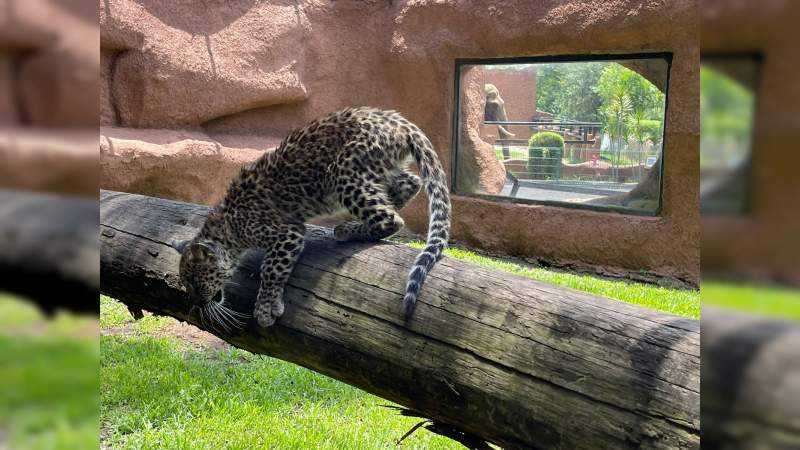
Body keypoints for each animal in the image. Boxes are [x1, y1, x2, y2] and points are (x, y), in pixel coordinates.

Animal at [174, 107, 451, 329]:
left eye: (195, 282)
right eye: (187, 284)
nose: (197, 304)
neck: (227, 228)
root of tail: (398, 120)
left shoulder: (287, 232)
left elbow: (271, 269)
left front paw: (265, 309)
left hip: (345, 173)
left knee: (391, 219)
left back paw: (347, 229)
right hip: (379, 169)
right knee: (410, 183)